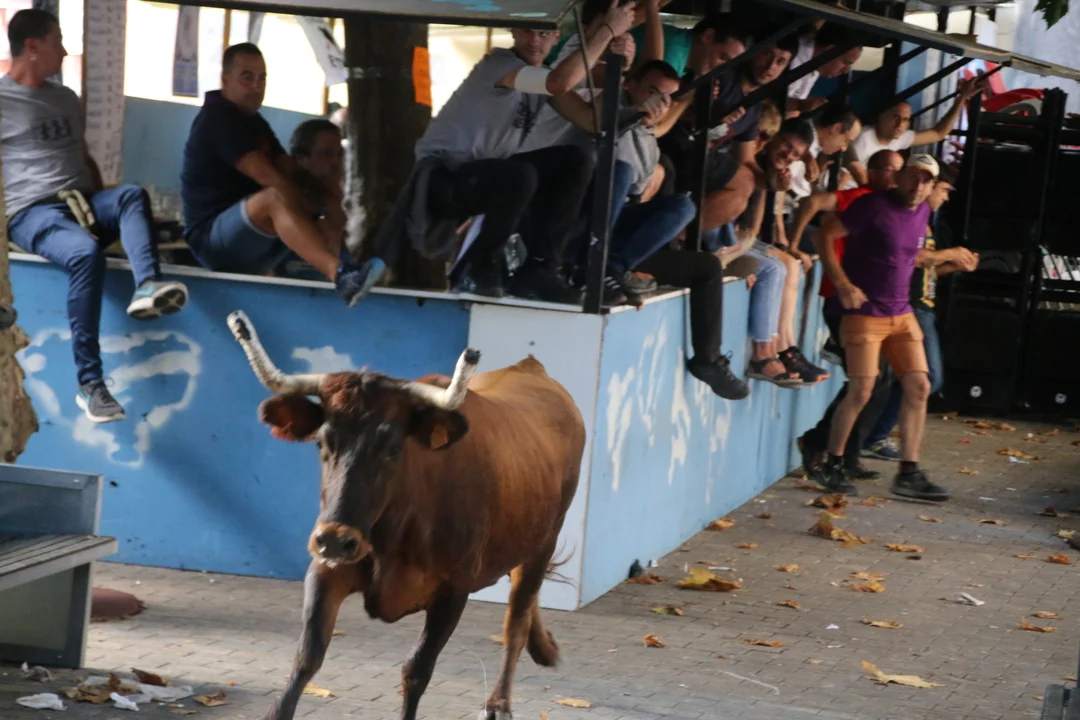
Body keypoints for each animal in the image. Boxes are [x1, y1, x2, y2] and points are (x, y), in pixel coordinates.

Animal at [226, 311, 586, 720]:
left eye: (393, 448)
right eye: (322, 442)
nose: (335, 539)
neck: (398, 530)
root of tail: (531, 369)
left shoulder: (454, 590)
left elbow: (416, 670)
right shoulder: (327, 569)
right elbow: (306, 658)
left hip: (544, 541)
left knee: (516, 620)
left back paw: (499, 701)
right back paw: (545, 646)